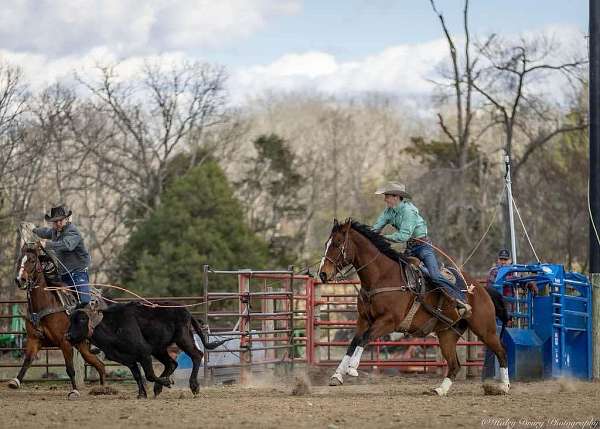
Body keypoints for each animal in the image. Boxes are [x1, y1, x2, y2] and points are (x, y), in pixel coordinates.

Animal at [9, 242, 106, 396]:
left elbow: (70, 369)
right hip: (82, 346)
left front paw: (74, 391)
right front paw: (15, 381)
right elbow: (27, 361)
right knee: (100, 365)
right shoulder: (34, 340)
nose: (20, 280)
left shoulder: (64, 342)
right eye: (20, 260)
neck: (44, 305)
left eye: (32, 260)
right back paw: (102, 389)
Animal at [316, 219, 508, 396]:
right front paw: (337, 375)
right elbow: (354, 342)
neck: (383, 276)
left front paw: (352, 368)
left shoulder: (388, 322)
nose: (323, 274)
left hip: (485, 329)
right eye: (326, 244)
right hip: (447, 334)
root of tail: (482, 289)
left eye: (337, 243)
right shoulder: (363, 320)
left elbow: (365, 338)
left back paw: (504, 386)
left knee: (501, 352)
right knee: (454, 365)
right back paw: (440, 390)